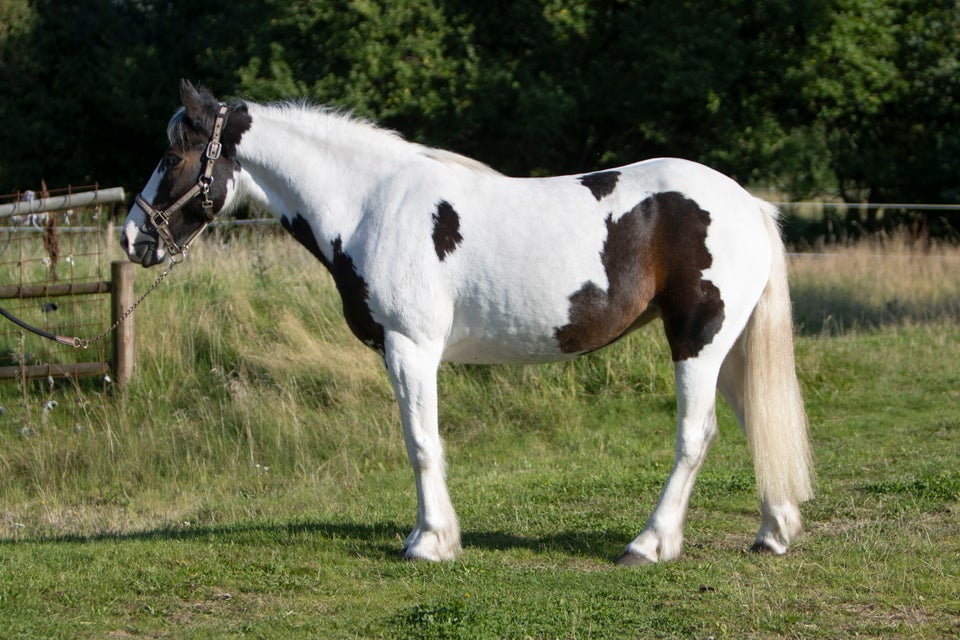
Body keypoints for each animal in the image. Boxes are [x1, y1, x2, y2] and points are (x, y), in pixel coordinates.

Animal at [118, 81, 808, 564]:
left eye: (173, 155)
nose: (133, 238)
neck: (369, 204)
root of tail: (747, 201)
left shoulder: (410, 347)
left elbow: (422, 443)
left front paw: (430, 541)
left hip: (697, 339)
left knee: (696, 436)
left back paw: (648, 543)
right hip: (726, 345)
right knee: (754, 419)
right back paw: (774, 530)